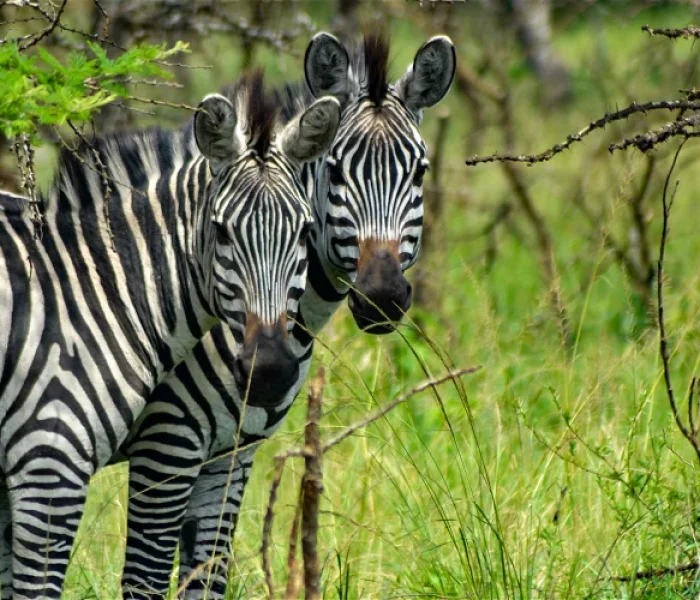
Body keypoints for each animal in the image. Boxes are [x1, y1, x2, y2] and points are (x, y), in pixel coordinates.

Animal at [118, 32, 456, 599]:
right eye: (335, 171)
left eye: (419, 172)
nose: (382, 296)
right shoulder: (166, 442)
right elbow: (144, 577)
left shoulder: (231, 451)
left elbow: (208, 575)